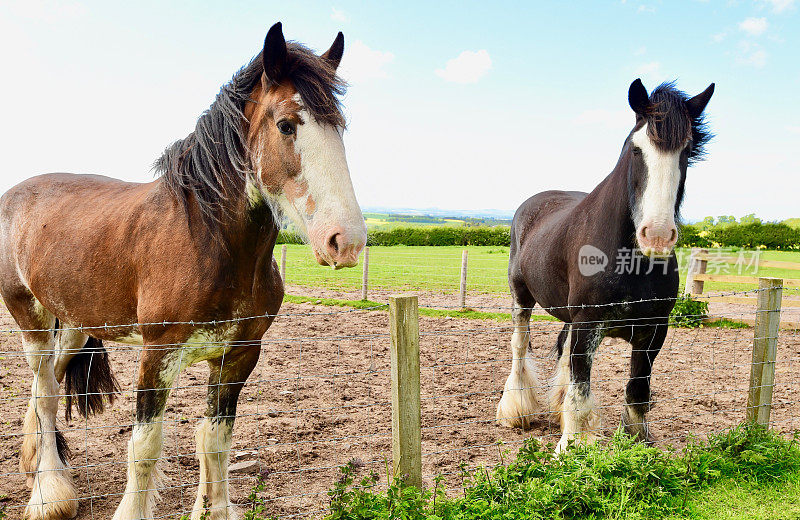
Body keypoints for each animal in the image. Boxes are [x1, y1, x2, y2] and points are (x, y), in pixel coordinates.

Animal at [0, 22, 366, 520]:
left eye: (340, 128)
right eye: (286, 124)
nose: (346, 240)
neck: (209, 243)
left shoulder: (239, 355)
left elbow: (215, 440)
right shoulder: (159, 354)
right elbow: (145, 447)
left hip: (74, 322)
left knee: (49, 389)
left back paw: (34, 466)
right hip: (30, 318)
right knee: (45, 393)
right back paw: (49, 494)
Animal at [496, 79, 716, 452]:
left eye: (686, 150)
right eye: (637, 149)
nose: (657, 235)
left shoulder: (653, 329)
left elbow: (637, 390)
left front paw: (636, 440)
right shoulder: (588, 323)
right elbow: (581, 391)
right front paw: (571, 447)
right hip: (521, 298)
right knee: (520, 345)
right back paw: (517, 410)